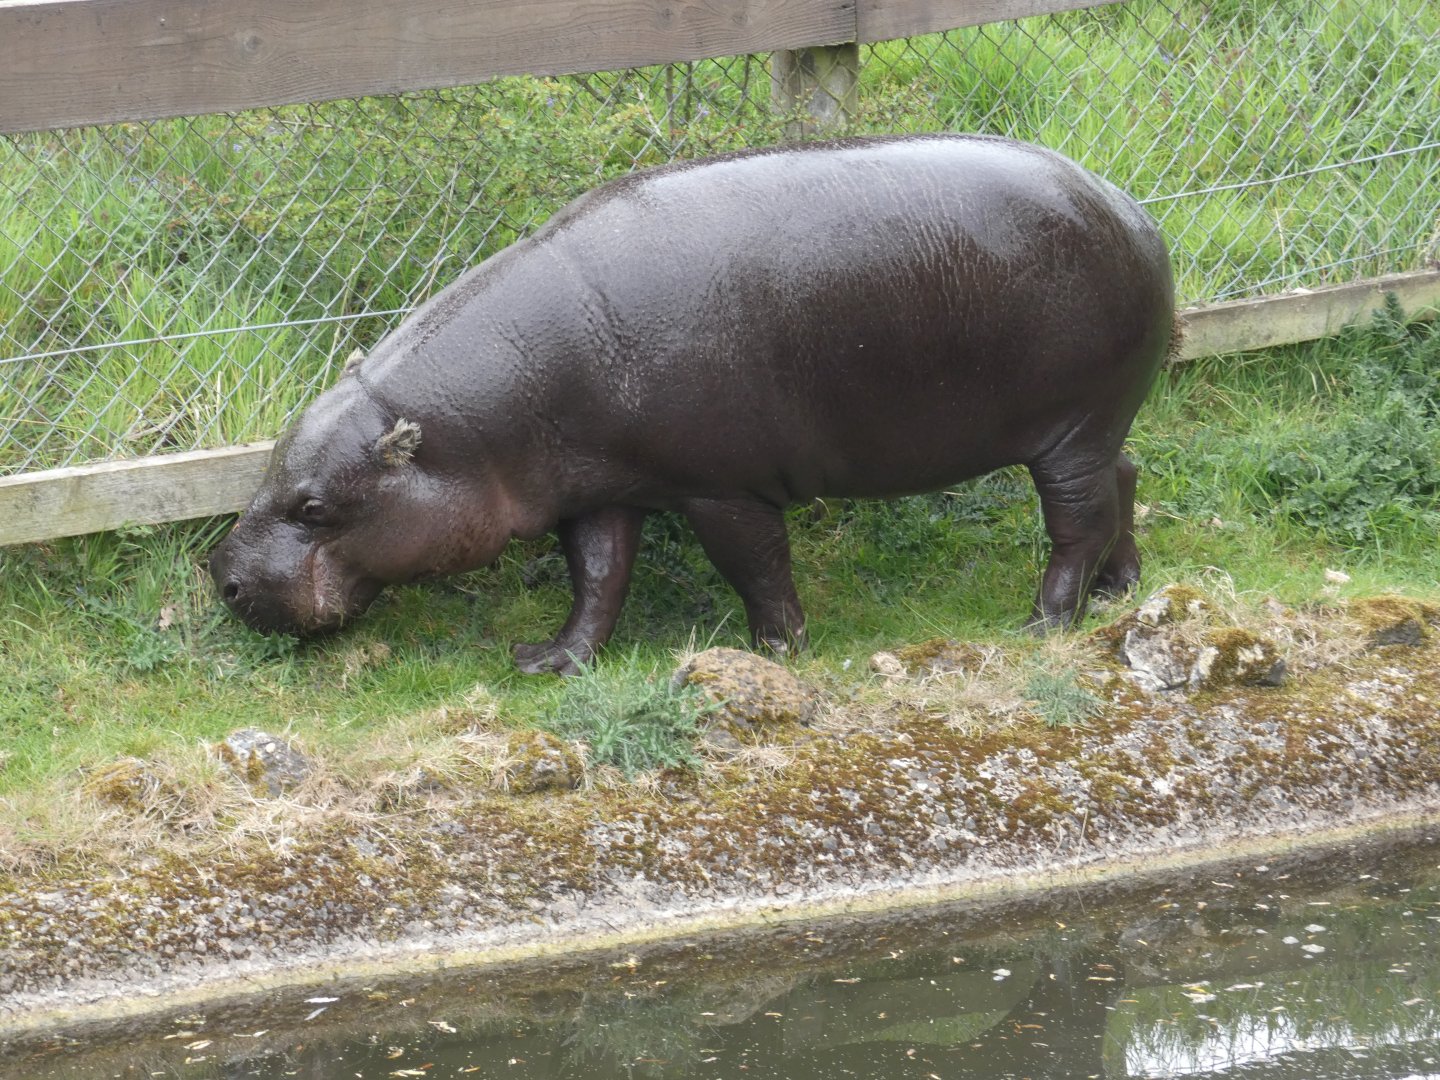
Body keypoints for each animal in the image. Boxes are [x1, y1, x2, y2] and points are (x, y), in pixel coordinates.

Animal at [210, 134, 1176, 674]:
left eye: (314, 506)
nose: (222, 578)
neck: (464, 430)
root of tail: (1130, 205)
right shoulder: (602, 488)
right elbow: (597, 578)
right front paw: (548, 662)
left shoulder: (719, 487)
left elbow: (755, 566)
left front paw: (773, 651)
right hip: (1096, 423)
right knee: (1123, 480)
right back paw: (1120, 587)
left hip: (1071, 427)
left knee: (1076, 520)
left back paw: (1043, 621)